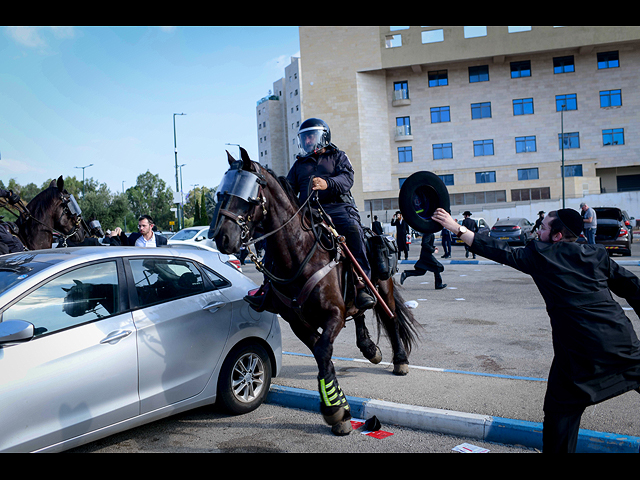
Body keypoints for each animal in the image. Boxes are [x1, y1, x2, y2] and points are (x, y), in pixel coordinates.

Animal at [210, 149, 420, 436]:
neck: (299, 254)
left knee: (391, 318)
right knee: (360, 312)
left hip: (383, 288)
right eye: (222, 192)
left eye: (247, 195)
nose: (221, 237)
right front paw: (338, 406)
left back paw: (400, 360)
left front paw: (335, 410)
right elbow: (322, 354)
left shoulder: (334, 314)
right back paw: (369, 347)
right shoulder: (298, 321)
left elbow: (323, 351)